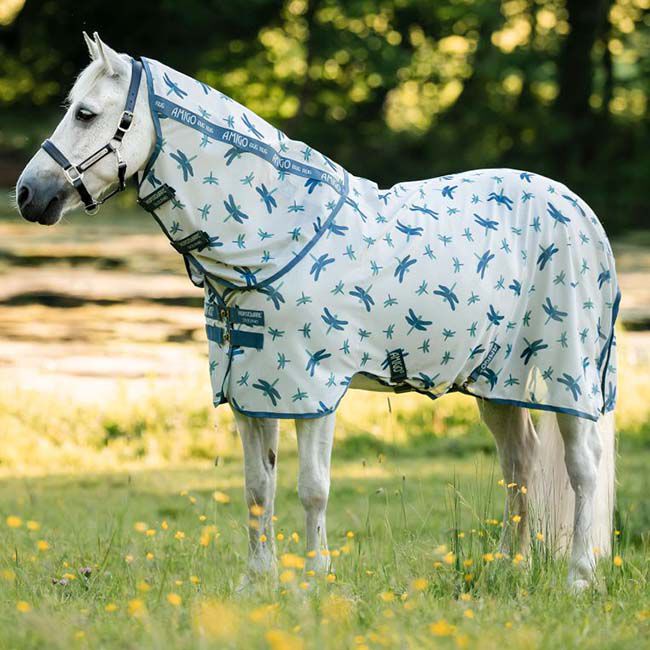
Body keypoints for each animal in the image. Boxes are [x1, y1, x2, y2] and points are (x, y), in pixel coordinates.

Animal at [16, 33, 619, 591]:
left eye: (86, 113)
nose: (27, 195)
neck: (273, 240)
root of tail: (580, 209)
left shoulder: (314, 390)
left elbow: (312, 488)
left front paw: (312, 582)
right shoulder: (251, 390)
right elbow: (257, 487)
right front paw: (257, 582)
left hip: (567, 374)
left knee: (582, 468)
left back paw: (580, 577)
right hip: (497, 382)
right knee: (520, 462)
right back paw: (508, 567)